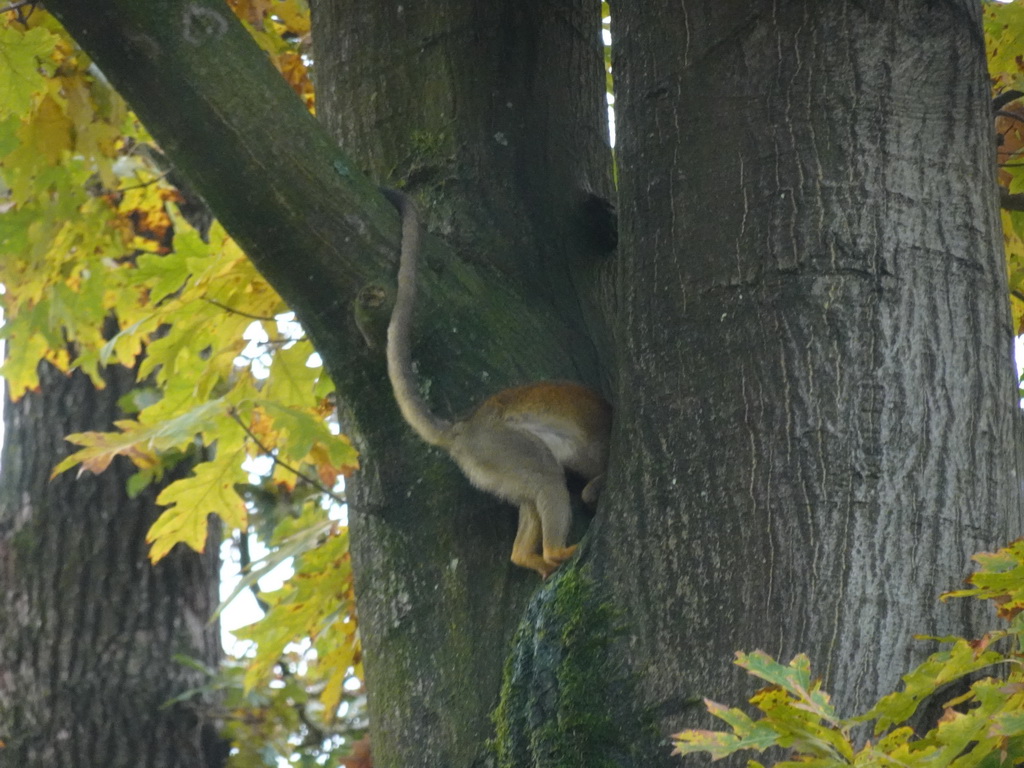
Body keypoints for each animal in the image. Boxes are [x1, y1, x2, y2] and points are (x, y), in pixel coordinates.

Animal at [382, 189, 606, 581]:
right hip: (498, 444)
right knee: (547, 475)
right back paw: (555, 552)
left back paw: (526, 557)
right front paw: (593, 495)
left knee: (531, 490)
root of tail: (465, 426)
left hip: (491, 462)